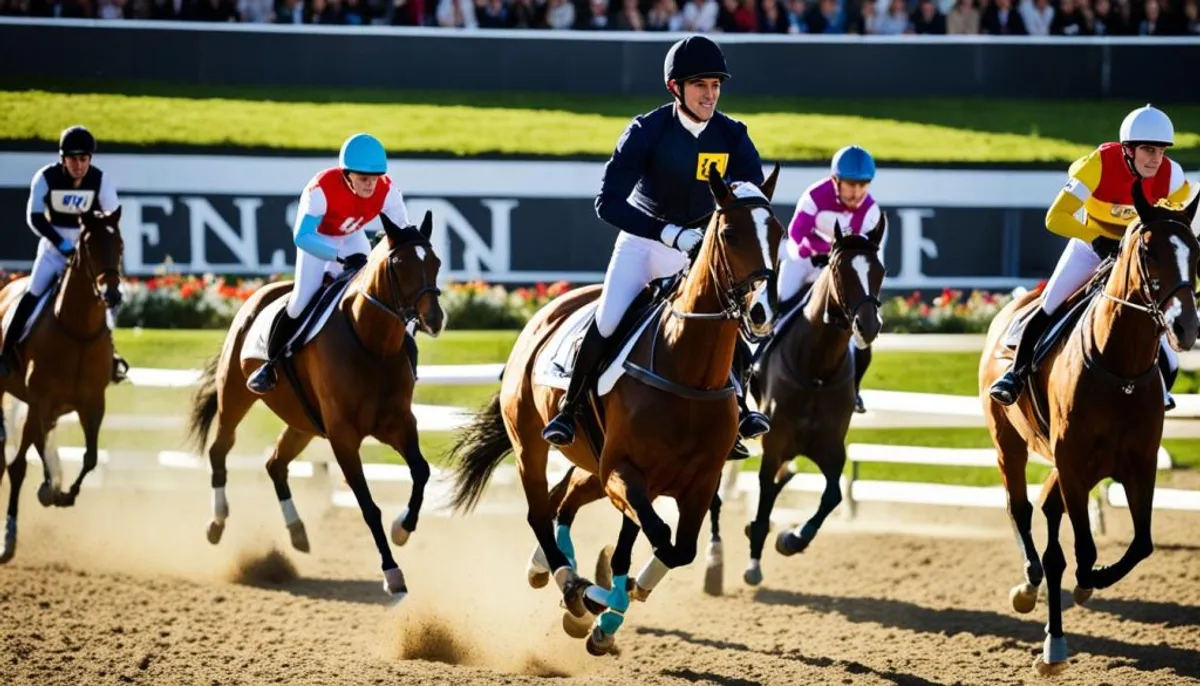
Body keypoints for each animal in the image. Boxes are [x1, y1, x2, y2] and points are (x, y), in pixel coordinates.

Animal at [0, 208, 126, 563]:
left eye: (120, 244)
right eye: (89, 247)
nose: (112, 294)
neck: (78, 332)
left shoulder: (92, 404)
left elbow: (91, 457)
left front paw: (66, 493)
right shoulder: (43, 400)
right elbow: (40, 452)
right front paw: (50, 489)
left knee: (20, 460)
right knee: (16, 460)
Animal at [187, 212, 446, 597]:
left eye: (435, 262)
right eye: (399, 265)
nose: (435, 319)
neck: (371, 342)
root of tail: (258, 295)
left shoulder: (398, 424)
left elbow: (422, 471)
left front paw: (402, 528)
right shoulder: (343, 437)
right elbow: (368, 506)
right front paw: (392, 571)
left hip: (303, 422)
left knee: (275, 463)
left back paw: (297, 532)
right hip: (234, 395)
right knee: (220, 449)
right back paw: (217, 522)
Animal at [446, 163, 782, 657]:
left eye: (777, 231)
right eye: (730, 233)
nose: (761, 312)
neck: (686, 371)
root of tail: (544, 312)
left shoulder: (697, 481)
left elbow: (675, 548)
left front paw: (617, 599)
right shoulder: (625, 470)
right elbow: (656, 537)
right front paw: (599, 599)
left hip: (596, 463)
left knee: (565, 495)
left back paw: (553, 572)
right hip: (533, 446)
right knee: (540, 511)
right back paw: (569, 582)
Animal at [715, 217, 888, 592]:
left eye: (880, 269)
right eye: (839, 269)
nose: (867, 325)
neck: (816, 369)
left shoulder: (831, 446)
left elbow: (833, 495)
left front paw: (792, 538)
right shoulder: (775, 440)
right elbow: (766, 495)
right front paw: (753, 561)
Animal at [979, 182, 1195, 676]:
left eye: (1195, 249)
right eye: (1149, 250)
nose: (1185, 326)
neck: (1120, 370)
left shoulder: (1139, 465)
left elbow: (1141, 544)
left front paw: (1090, 582)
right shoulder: (1074, 466)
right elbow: (1082, 551)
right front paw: (1075, 589)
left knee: (1047, 514)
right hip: (1009, 443)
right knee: (1022, 511)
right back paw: (1033, 594)